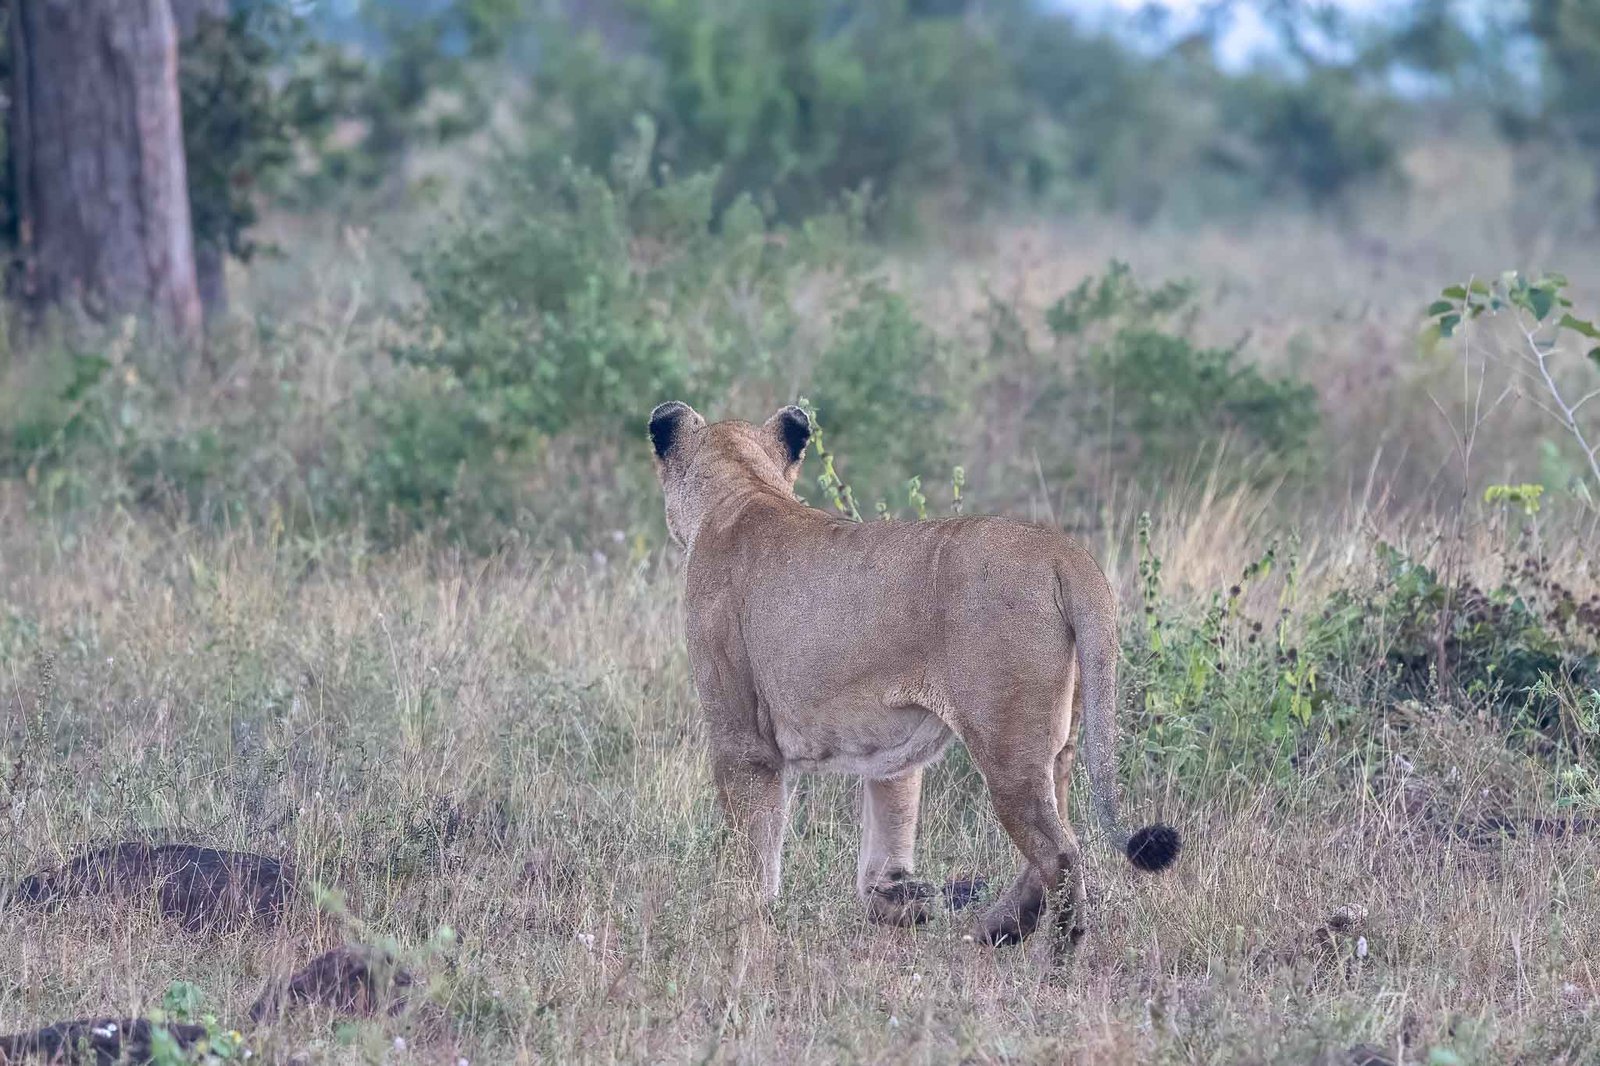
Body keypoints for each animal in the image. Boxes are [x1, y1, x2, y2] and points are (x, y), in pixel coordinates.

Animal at [649, 401, 1179, 947]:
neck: (743, 487)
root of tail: (1062, 549)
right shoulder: (891, 754)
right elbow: (888, 832)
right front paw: (898, 901)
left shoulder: (741, 738)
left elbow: (754, 850)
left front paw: (742, 926)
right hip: (1060, 741)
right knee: (1063, 832)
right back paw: (996, 926)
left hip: (1009, 748)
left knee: (1060, 851)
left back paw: (1053, 951)